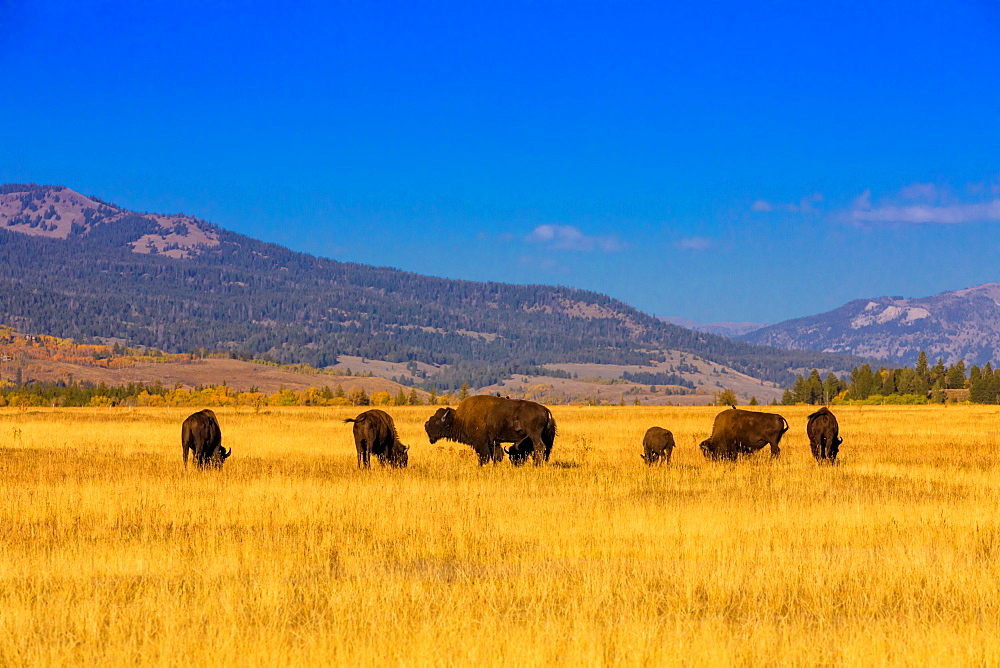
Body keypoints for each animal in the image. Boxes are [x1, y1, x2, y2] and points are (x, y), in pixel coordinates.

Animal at [426, 394, 560, 468]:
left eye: (437, 421)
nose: (426, 425)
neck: (459, 419)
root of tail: (545, 410)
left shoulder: (481, 443)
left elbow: (484, 456)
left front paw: (480, 466)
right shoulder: (494, 442)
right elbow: (496, 455)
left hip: (534, 434)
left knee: (539, 447)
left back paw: (536, 465)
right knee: (546, 449)